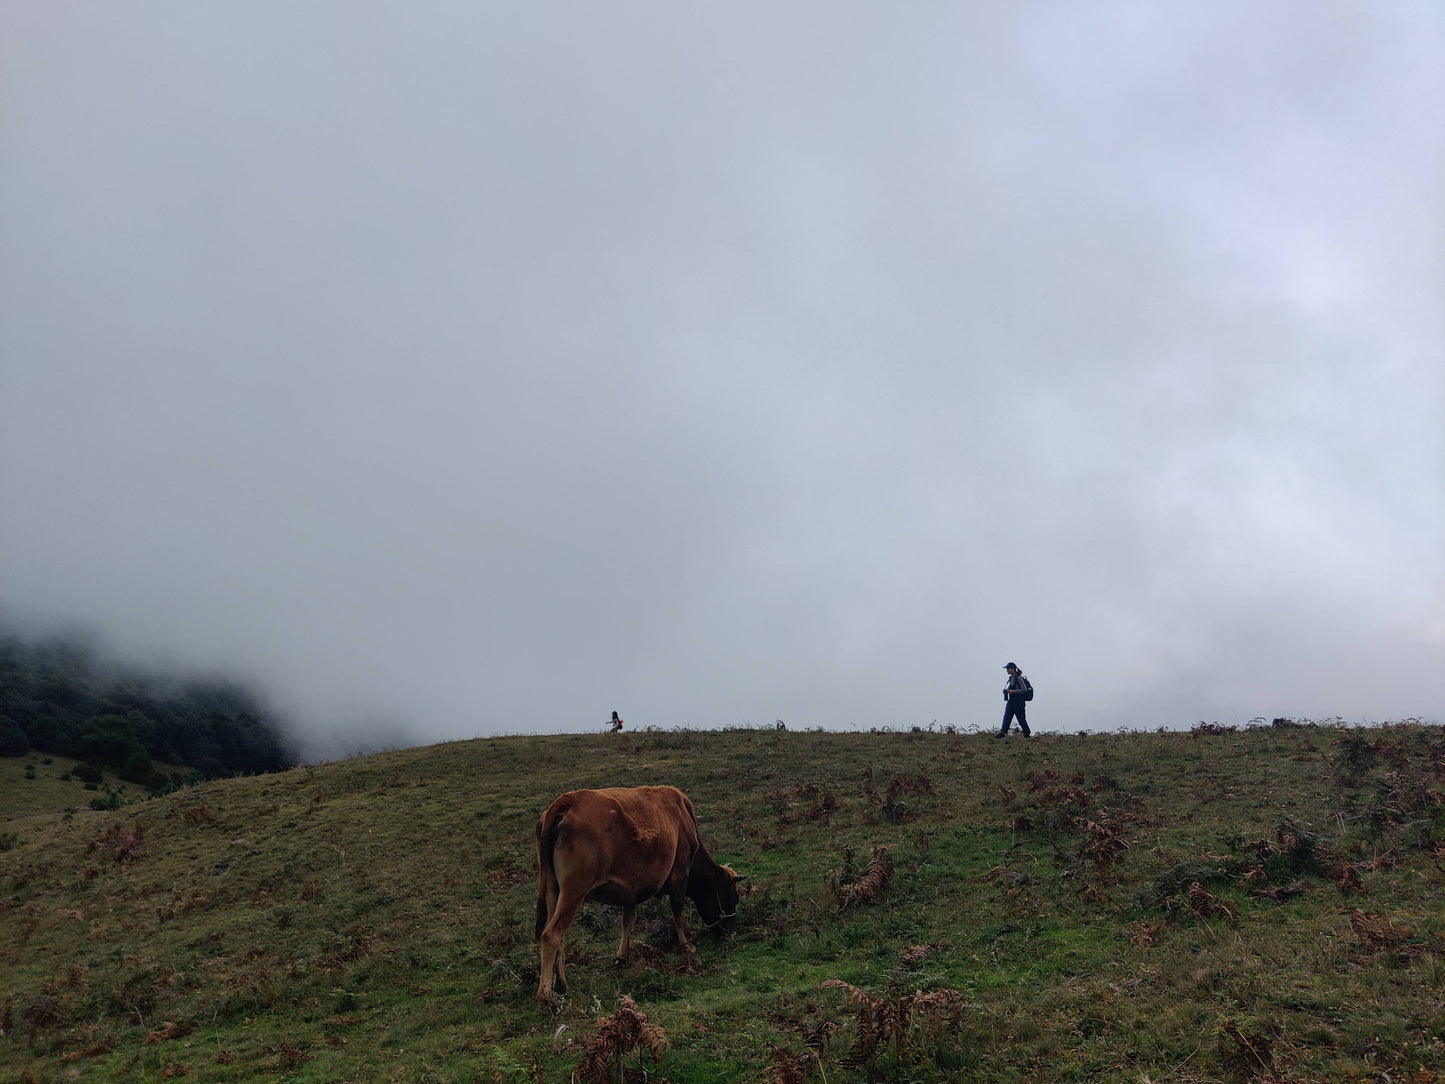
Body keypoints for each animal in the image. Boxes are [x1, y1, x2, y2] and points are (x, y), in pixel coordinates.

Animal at [534, 786, 739, 1005]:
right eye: (732, 898)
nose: (731, 933)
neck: (683, 818)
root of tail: (568, 800)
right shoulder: (680, 873)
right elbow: (678, 911)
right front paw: (686, 945)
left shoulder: (630, 891)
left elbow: (628, 921)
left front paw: (622, 956)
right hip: (575, 890)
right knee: (551, 934)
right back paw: (545, 993)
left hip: (553, 891)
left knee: (559, 936)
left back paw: (562, 984)